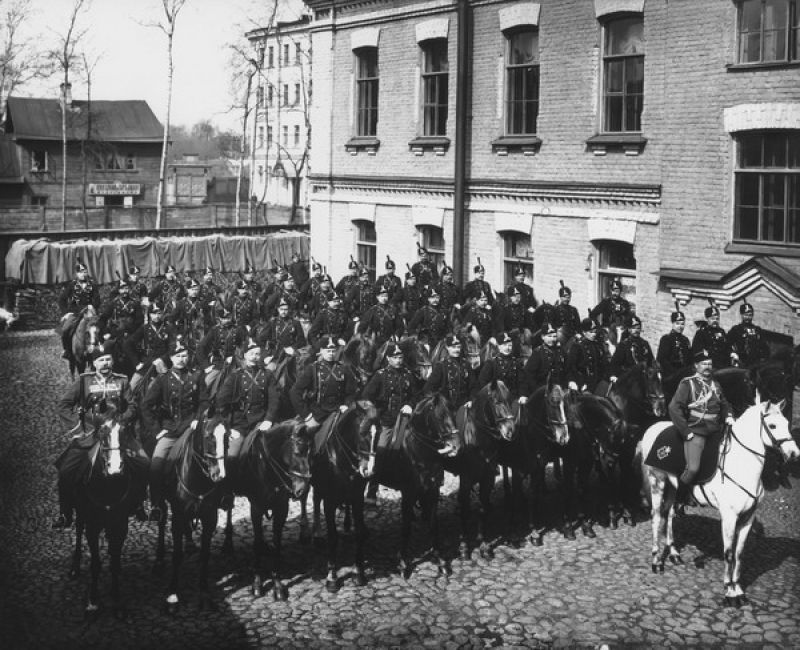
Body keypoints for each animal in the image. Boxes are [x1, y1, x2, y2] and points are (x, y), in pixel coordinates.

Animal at [225, 420, 316, 596]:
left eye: (311, 452)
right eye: (297, 452)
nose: (302, 489)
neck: (267, 469)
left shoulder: (281, 509)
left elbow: (277, 543)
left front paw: (277, 583)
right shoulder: (256, 508)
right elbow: (256, 543)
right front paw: (257, 583)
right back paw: (227, 541)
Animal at [440, 380, 516, 556]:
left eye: (510, 400)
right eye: (497, 401)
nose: (510, 430)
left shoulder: (488, 479)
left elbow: (482, 509)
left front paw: (484, 545)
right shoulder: (466, 480)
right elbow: (465, 509)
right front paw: (463, 546)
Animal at [640, 398, 796, 604]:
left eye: (786, 423)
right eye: (772, 425)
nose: (794, 453)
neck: (741, 464)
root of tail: (655, 427)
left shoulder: (748, 518)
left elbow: (739, 553)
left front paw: (738, 589)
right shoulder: (729, 517)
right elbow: (728, 553)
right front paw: (729, 591)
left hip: (673, 488)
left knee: (670, 514)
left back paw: (673, 553)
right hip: (657, 481)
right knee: (657, 517)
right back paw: (656, 561)